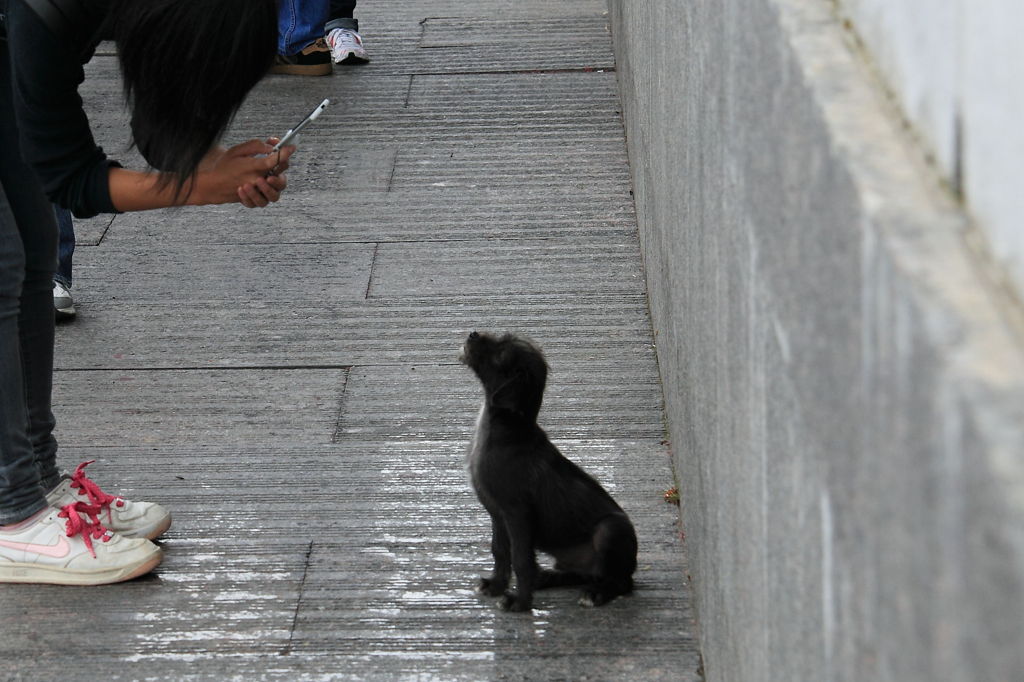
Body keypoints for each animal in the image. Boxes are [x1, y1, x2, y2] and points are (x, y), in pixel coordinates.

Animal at [460, 329, 634, 610]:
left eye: (501, 355)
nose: (473, 334)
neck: (506, 428)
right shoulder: (497, 513)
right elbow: (500, 551)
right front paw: (496, 586)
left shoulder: (517, 513)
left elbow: (520, 559)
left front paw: (519, 602)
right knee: (582, 573)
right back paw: (548, 578)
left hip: (609, 531)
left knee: (620, 582)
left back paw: (596, 594)